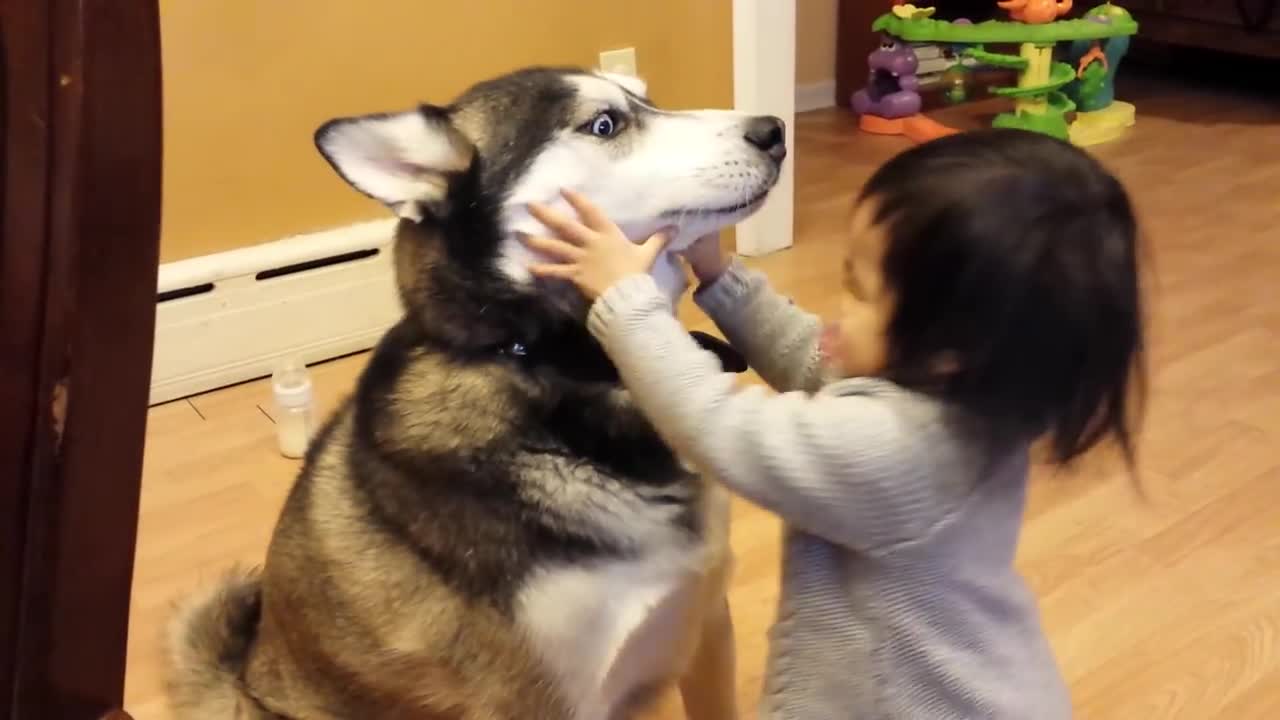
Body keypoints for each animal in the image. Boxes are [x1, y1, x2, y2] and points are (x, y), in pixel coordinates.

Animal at [165, 67, 783, 717]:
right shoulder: (544, 703)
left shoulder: (706, 622)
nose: (774, 130)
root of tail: (242, 676)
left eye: (646, 98)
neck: (559, 362)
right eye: (604, 125)